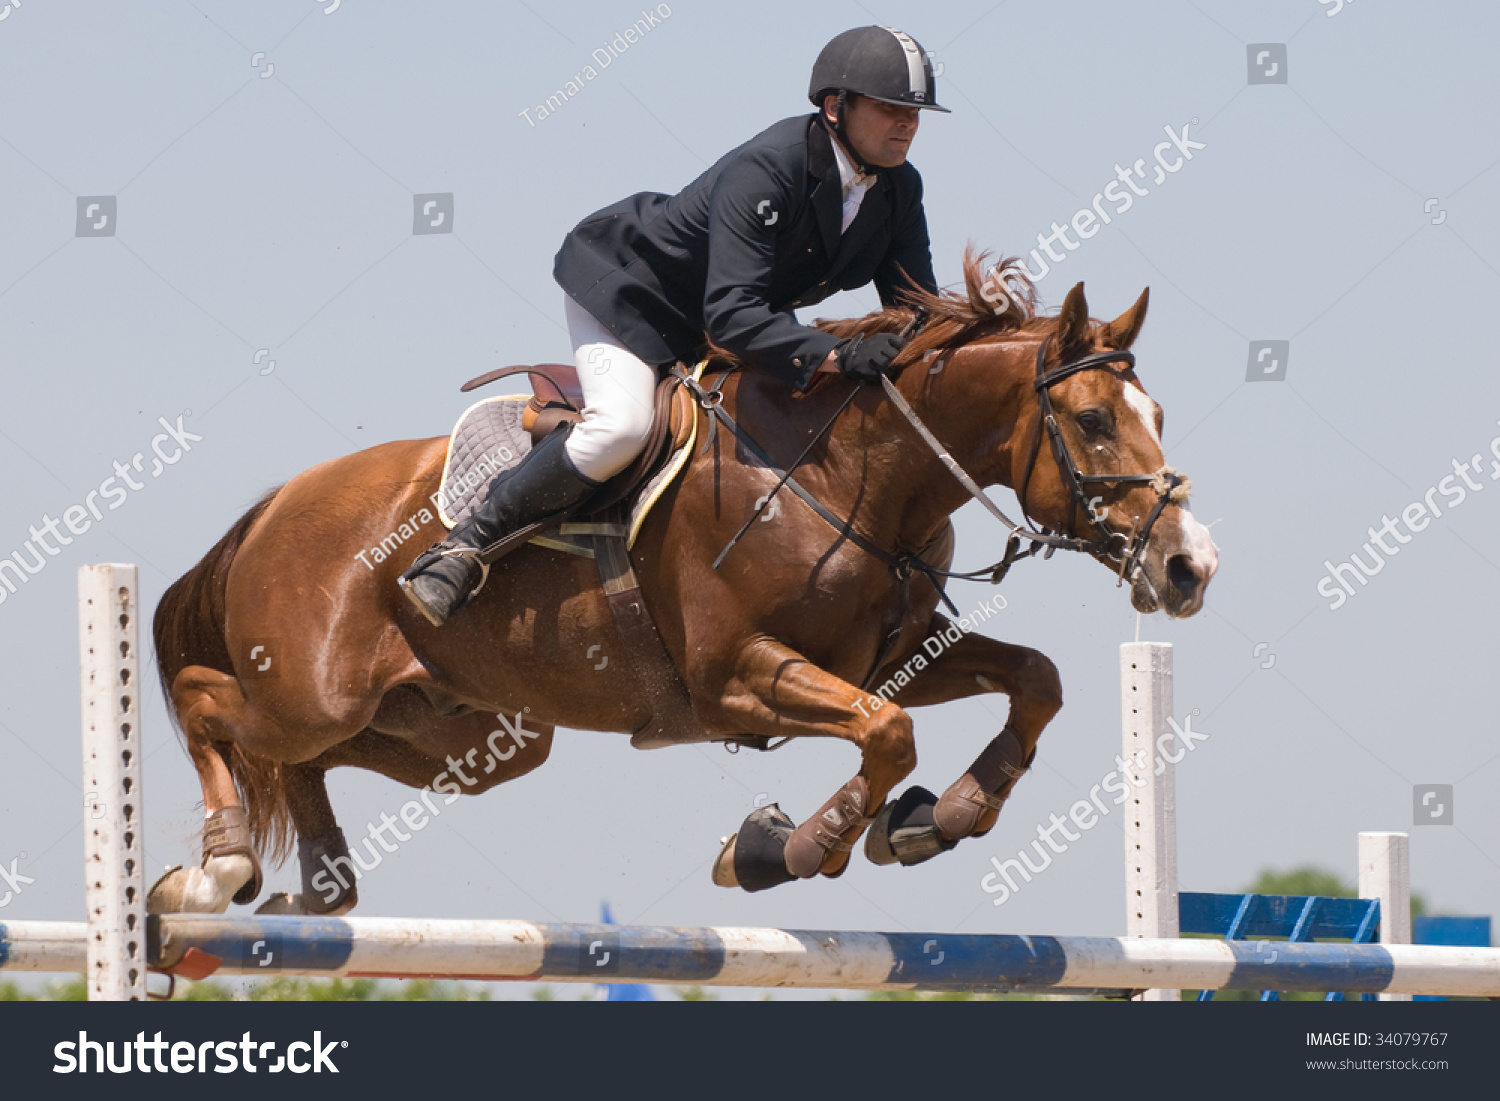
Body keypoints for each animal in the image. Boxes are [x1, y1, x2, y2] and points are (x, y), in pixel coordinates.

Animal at [143, 255, 1218, 918]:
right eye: (1092, 420)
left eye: (1159, 413)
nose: (1189, 565)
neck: (851, 478)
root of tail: (275, 505)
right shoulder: (735, 675)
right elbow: (886, 733)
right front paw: (784, 848)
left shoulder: (892, 657)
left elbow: (1032, 679)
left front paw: (937, 818)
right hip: (314, 689)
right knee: (211, 703)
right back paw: (216, 870)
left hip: (470, 735)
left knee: (305, 758)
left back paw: (318, 887)